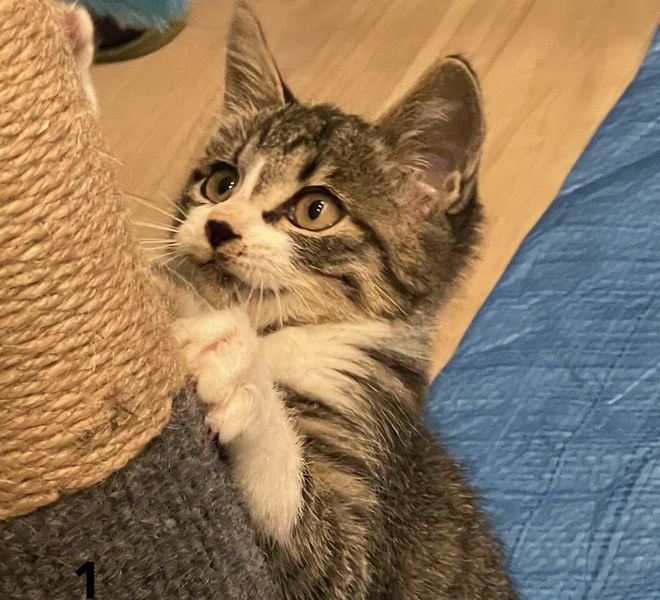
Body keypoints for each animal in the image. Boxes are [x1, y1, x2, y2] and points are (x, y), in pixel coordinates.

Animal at [158, 4, 517, 599]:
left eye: (315, 210)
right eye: (221, 183)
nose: (218, 225)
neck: (274, 329)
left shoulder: (364, 514)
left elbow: (317, 544)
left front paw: (234, 367)